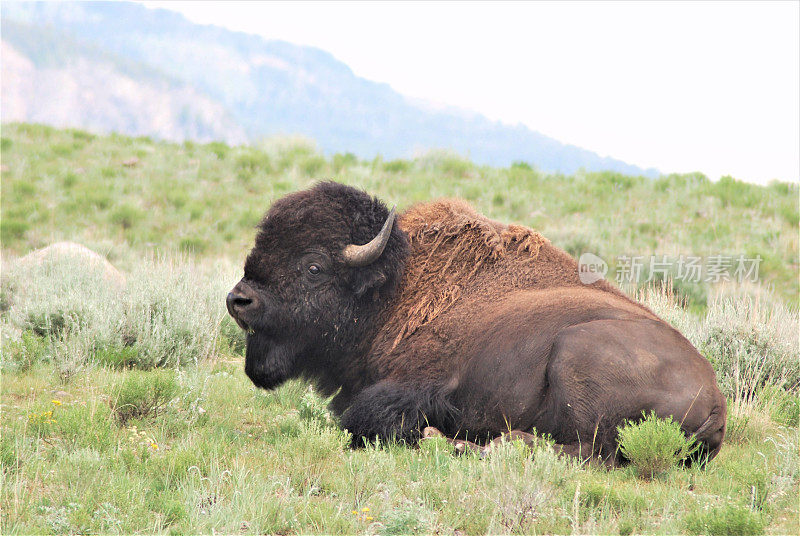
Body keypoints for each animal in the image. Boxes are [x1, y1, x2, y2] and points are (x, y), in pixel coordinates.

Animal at [228, 181, 728, 464]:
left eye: (314, 267)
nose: (239, 300)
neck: (395, 286)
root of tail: (718, 401)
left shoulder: (418, 385)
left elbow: (362, 419)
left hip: (576, 353)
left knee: (585, 451)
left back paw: (462, 444)